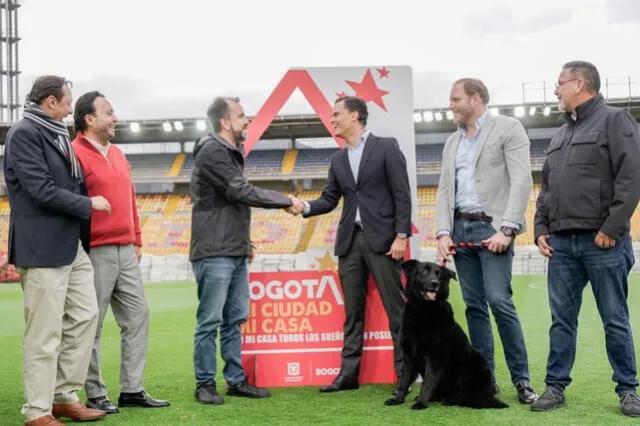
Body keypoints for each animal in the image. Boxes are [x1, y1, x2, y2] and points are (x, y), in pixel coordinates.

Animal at [384, 260, 510, 410]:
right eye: (423, 271)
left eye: (439, 274)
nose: (435, 283)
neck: (423, 309)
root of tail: (487, 395)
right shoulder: (409, 358)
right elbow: (404, 382)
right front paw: (398, 399)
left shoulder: (433, 358)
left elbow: (427, 383)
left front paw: (421, 403)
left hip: (471, 368)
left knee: (465, 397)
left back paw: (450, 400)